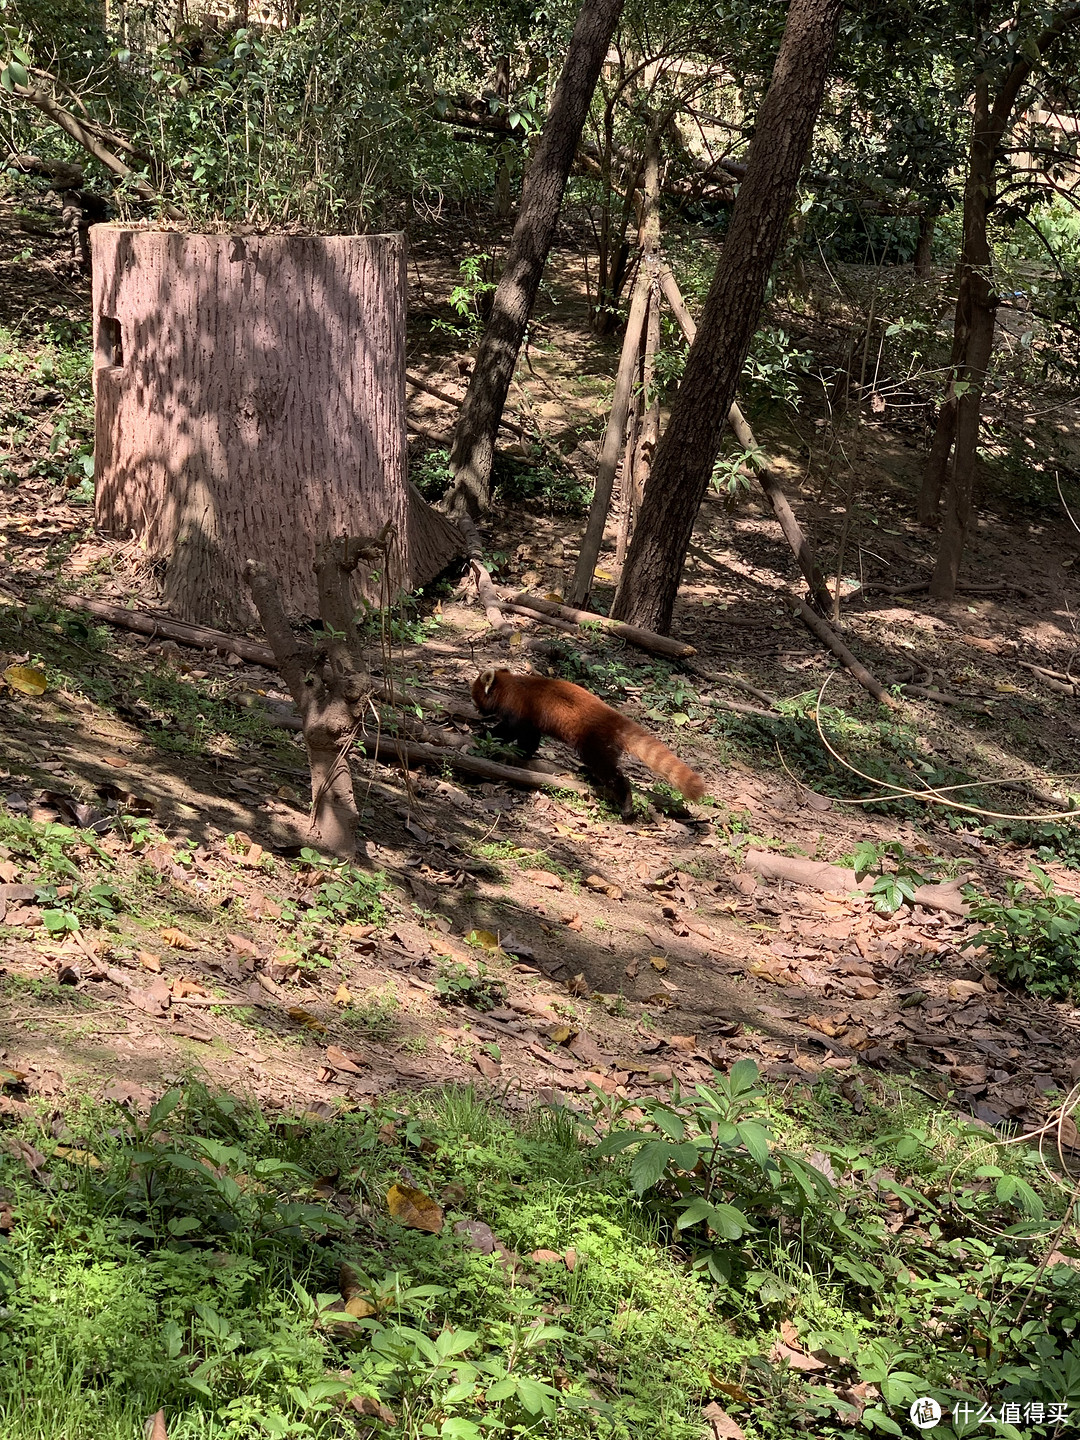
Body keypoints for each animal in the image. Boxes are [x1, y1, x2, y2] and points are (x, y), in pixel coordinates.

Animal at [469, 665, 705, 817]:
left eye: (475, 698)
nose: (477, 711)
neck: (508, 685)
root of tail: (615, 718)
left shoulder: (519, 709)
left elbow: (510, 731)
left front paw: (484, 736)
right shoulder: (532, 719)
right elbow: (530, 738)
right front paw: (524, 752)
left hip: (592, 740)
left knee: (610, 771)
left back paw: (625, 803)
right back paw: (588, 774)